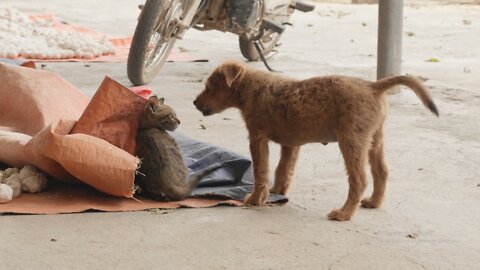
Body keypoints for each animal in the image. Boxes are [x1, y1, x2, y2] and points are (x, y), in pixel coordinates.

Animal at [193, 61, 436, 221]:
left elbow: (261, 171)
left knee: (359, 179)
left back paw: (344, 213)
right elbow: (283, 170)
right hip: (374, 139)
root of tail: (372, 85)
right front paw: (277, 192)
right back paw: (373, 202)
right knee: (382, 172)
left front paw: (255, 199)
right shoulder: (290, 144)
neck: (253, 87)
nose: (195, 103)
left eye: (209, 87)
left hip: (351, 140)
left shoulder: (257, 137)